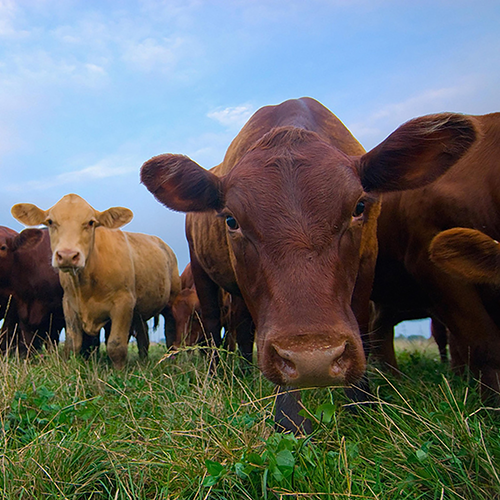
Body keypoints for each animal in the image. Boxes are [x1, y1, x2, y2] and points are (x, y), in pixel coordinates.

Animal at [11, 193, 182, 370]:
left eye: (90, 222)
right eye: (50, 221)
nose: (67, 255)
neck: (86, 283)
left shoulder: (123, 303)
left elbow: (116, 345)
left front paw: (119, 372)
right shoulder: (68, 303)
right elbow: (72, 344)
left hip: (172, 300)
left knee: (170, 332)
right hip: (140, 312)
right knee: (143, 336)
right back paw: (143, 361)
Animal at [141, 97, 476, 430]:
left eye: (359, 206)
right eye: (231, 220)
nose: (313, 359)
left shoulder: (367, 261)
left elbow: (361, 324)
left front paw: (360, 403)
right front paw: (289, 417)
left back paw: (246, 371)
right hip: (203, 272)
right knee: (213, 325)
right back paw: (219, 375)